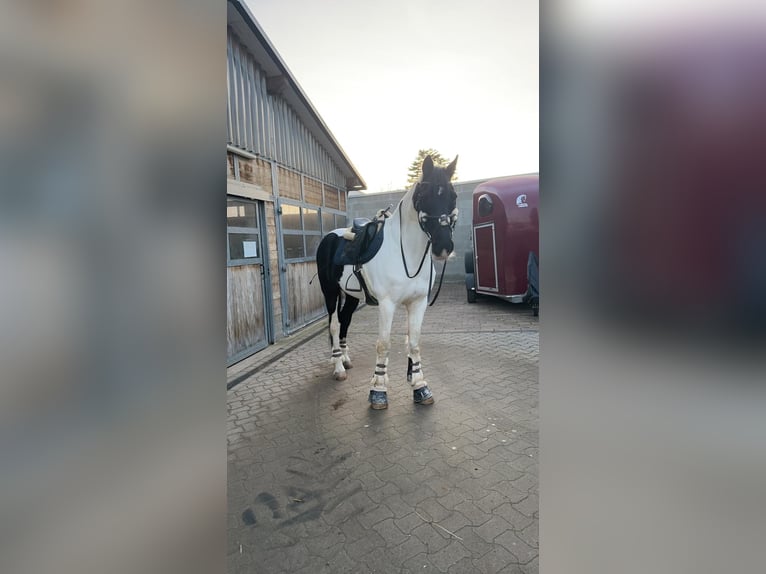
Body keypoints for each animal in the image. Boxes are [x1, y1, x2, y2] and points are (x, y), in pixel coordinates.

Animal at [315, 154, 459, 409]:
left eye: (453, 196)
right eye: (424, 195)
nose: (443, 247)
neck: (406, 255)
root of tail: (330, 237)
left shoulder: (418, 303)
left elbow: (414, 343)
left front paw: (420, 386)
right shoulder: (386, 304)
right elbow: (383, 345)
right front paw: (378, 391)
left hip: (351, 296)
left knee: (345, 321)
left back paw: (345, 358)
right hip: (330, 292)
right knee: (334, 324)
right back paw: (339, 368)